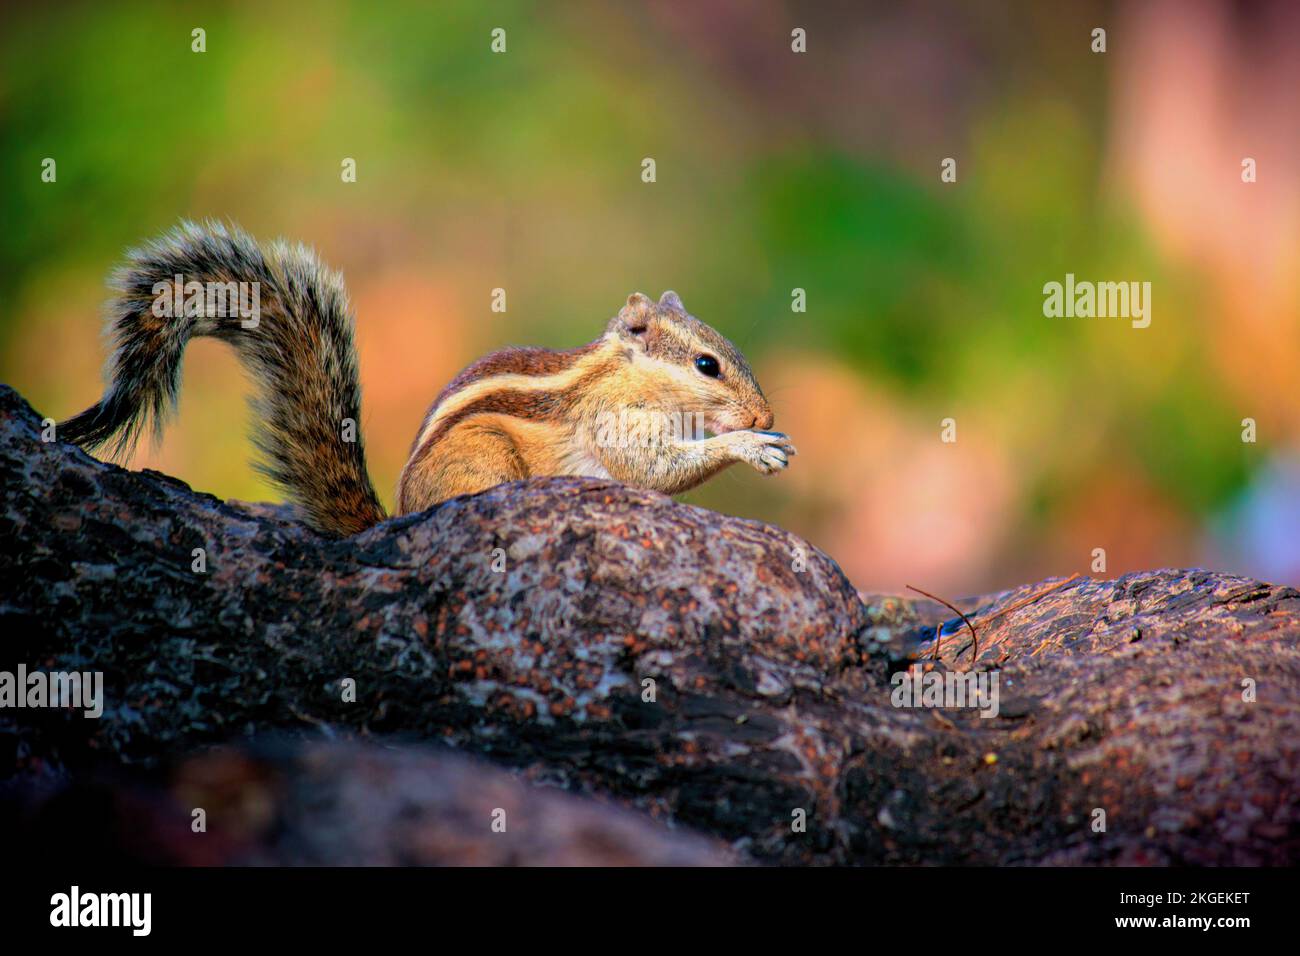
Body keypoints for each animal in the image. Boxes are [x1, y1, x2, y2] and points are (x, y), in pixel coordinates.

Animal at [59, 221, 796, 537]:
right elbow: (651, 468)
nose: (764, 416)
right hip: (485, 461)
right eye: (707, 365)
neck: (626, 379)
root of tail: (395, 516)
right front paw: (752, 447)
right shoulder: (612, 424)